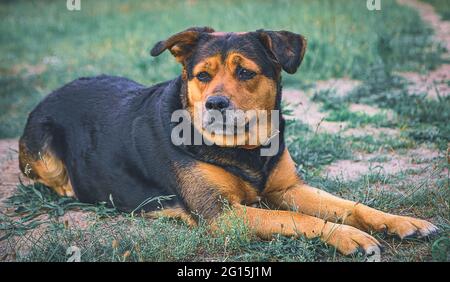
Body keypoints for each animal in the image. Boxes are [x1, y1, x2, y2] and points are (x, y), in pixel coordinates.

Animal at [19, 27, 438, 258]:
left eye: (245, 72)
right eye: (202, 76)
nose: (215, 104)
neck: (244, 148)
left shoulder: (288, 188)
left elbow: (348, 205)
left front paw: (400, 222)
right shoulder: (224, 214)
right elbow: (299, 219)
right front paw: (349, 237)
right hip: (42, 150)